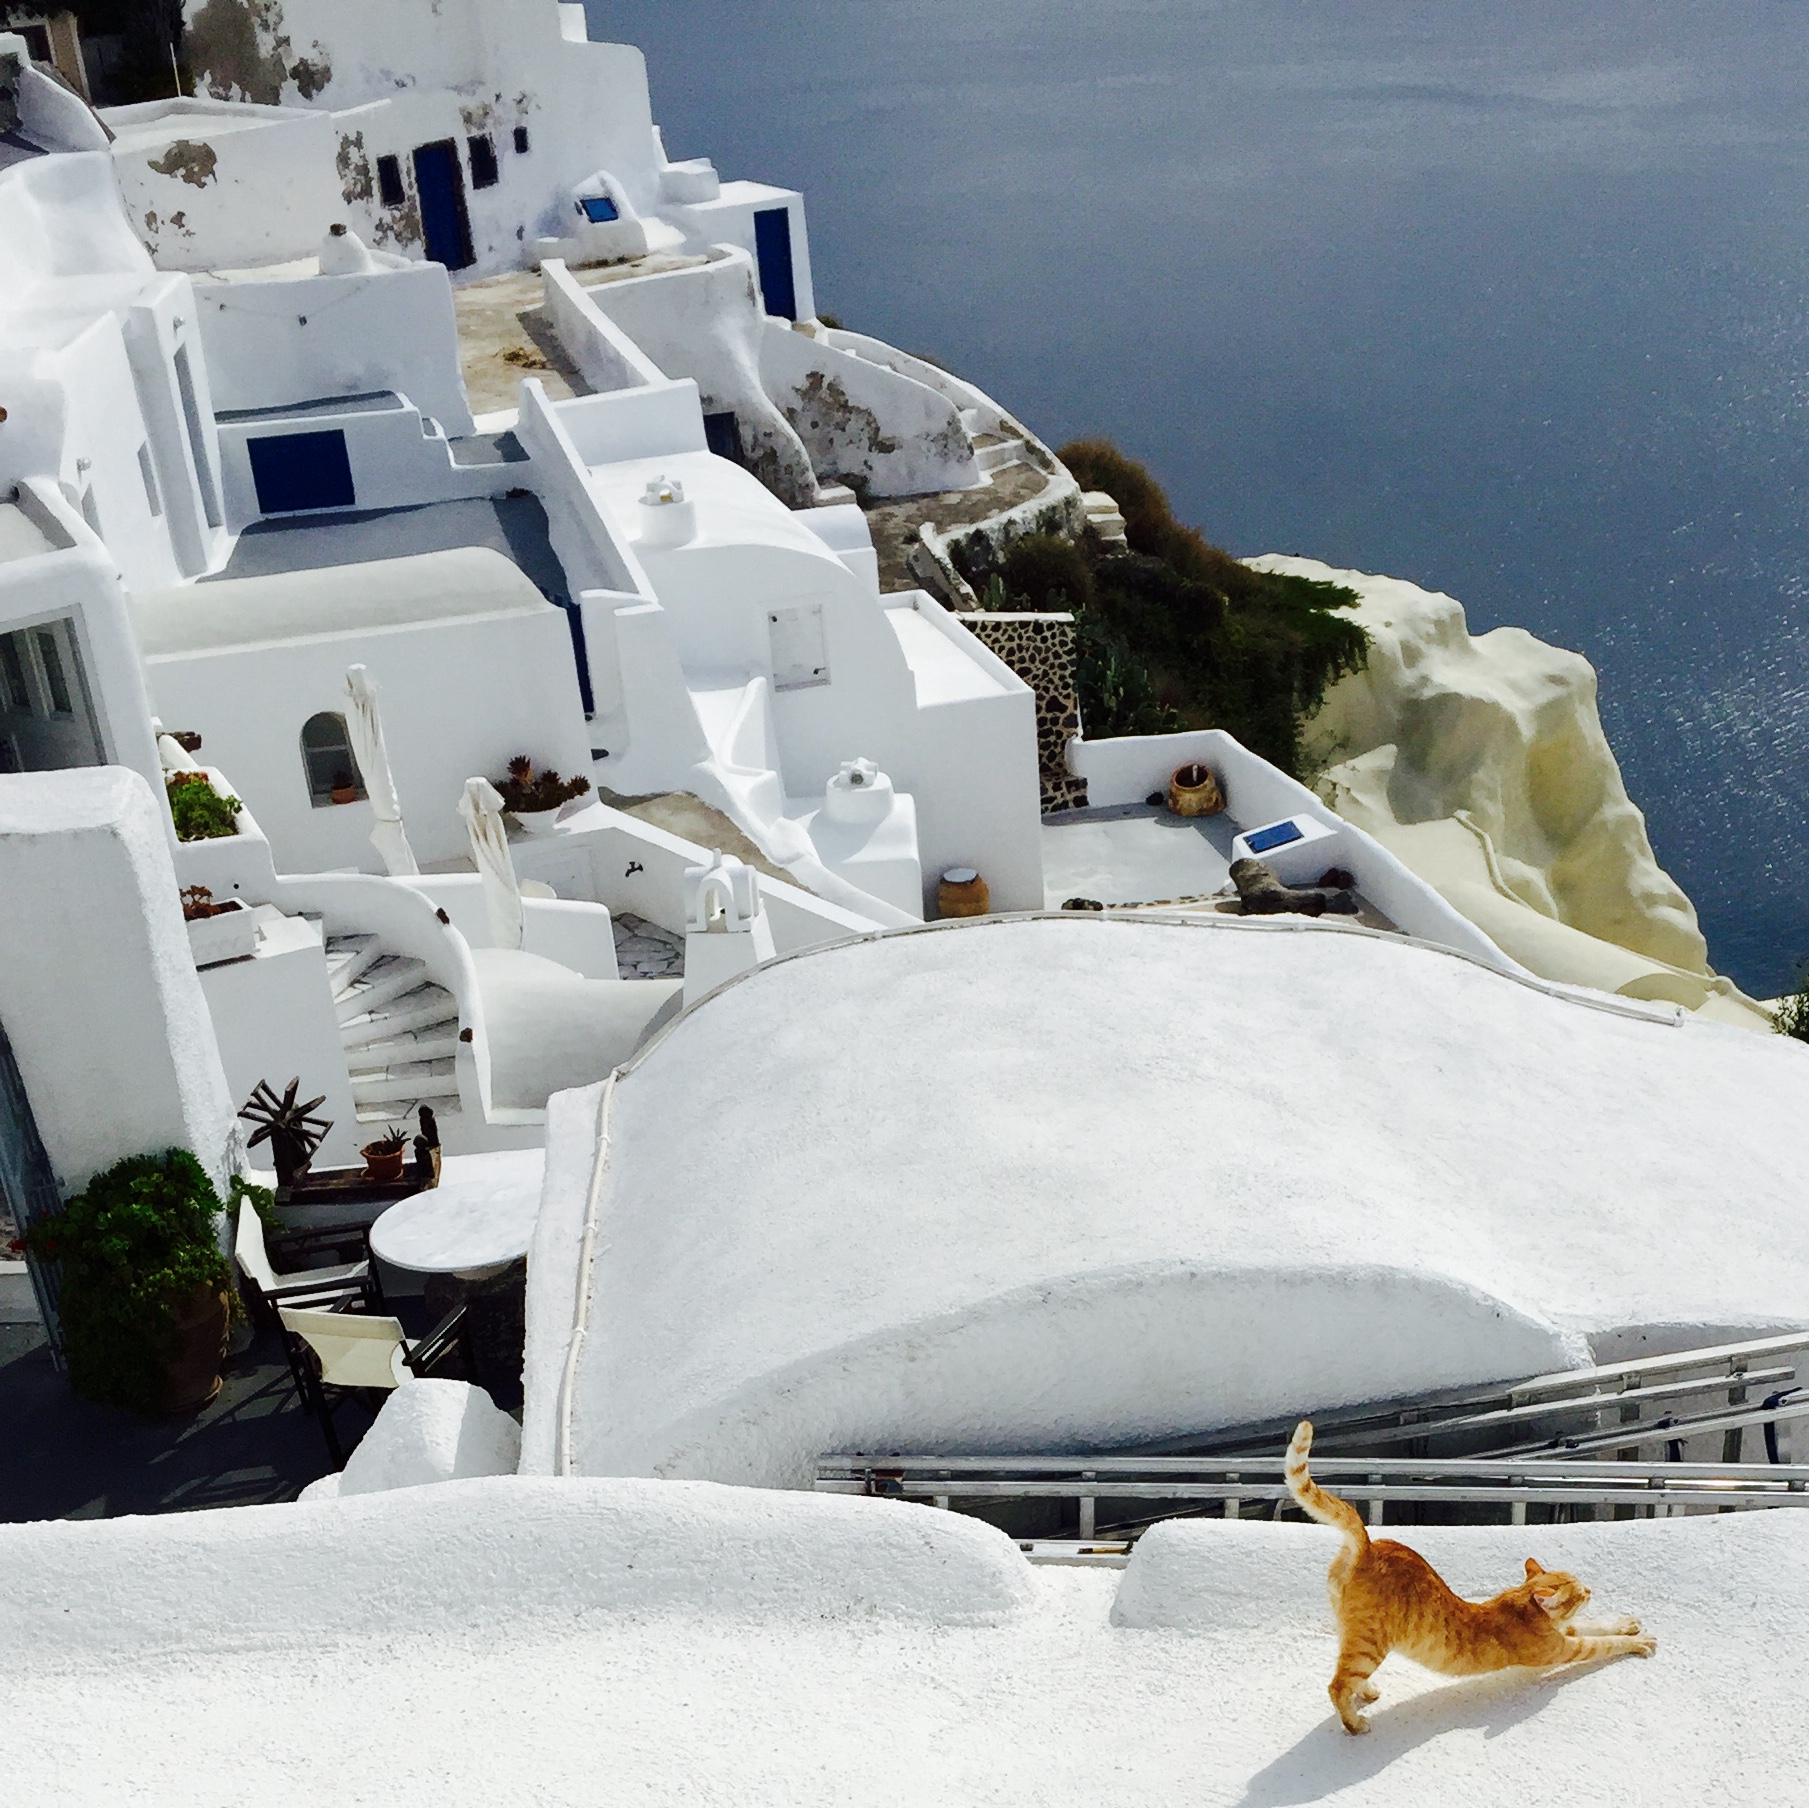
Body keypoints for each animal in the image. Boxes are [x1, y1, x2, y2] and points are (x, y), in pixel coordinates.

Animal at [1285, 1419, 1656, 1733]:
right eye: (1579, 1593)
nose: (1591, 1589)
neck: (1527, 1608)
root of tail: (1367, 1544)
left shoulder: (1565, 1631)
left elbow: (1599, 1624)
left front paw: (1628, 1623)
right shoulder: (1565, 1648)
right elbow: (1603, 1643)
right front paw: (1639, 1642)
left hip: (1350, 1631)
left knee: (1346, 1673)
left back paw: (1367, 1692)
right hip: (1370, 1643)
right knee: (1336, 1684)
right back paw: (1354, 1723)